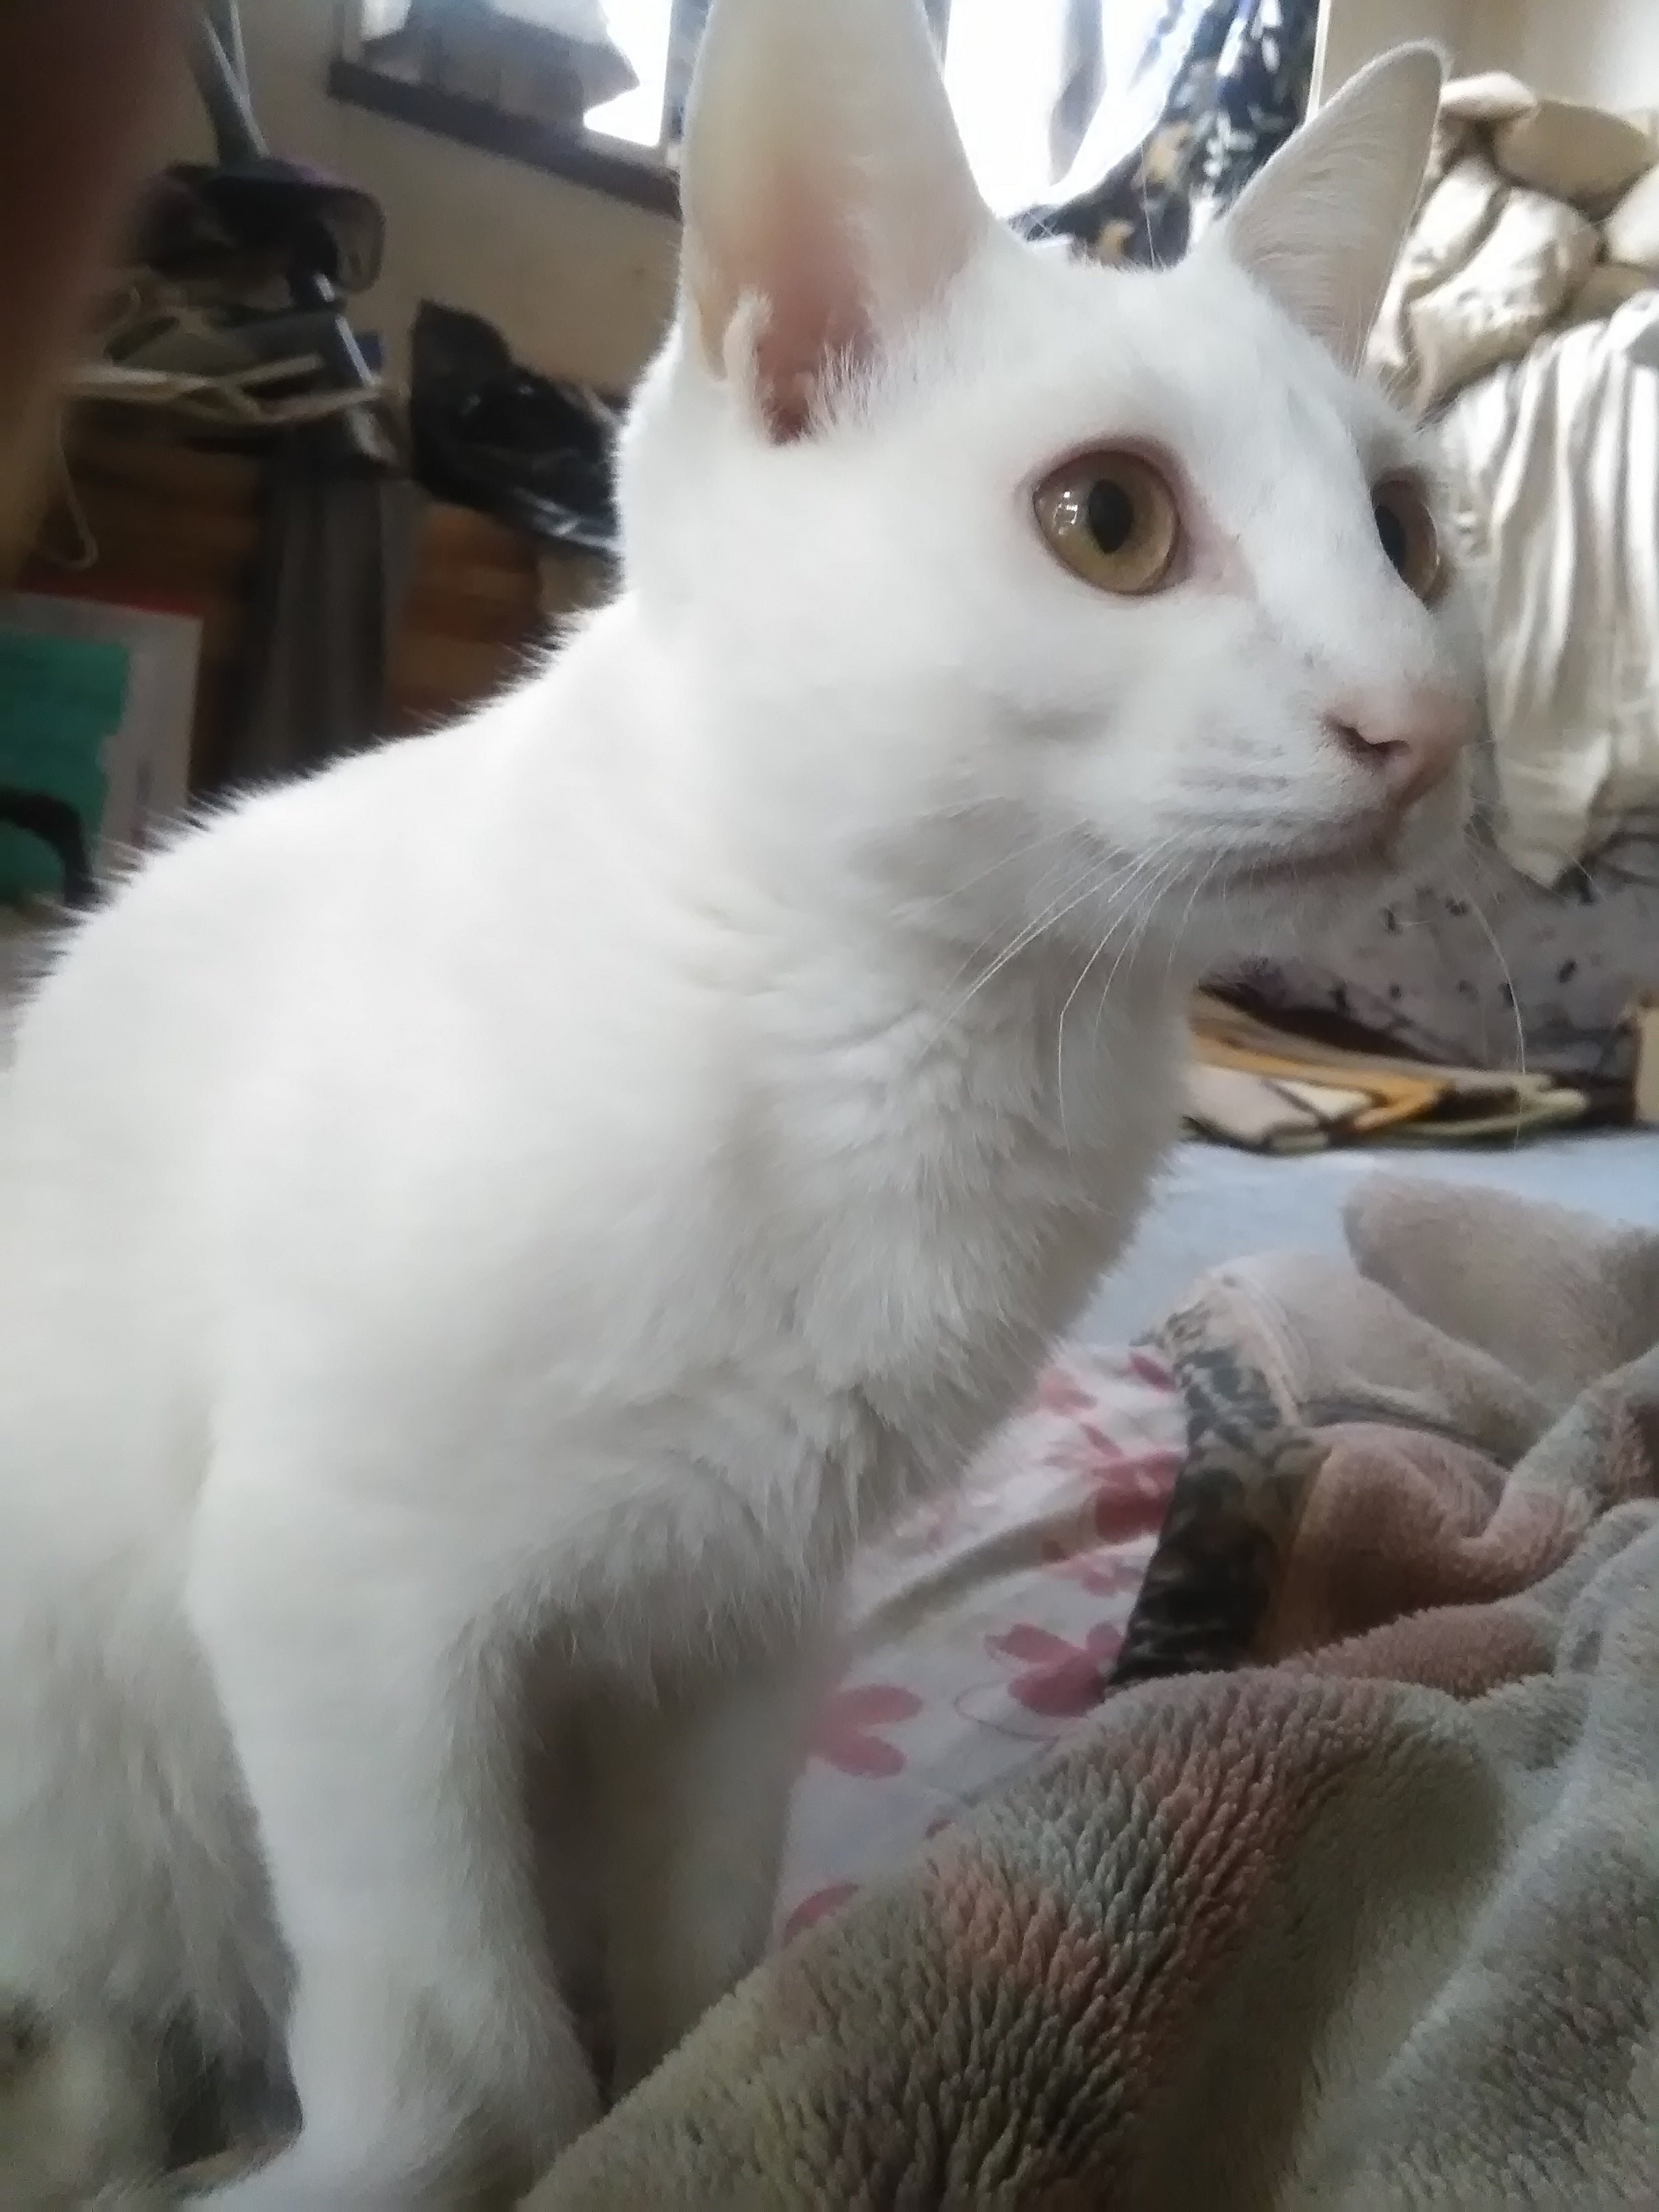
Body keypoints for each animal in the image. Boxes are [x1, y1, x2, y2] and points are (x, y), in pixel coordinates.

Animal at [0, 0, 1476, 2204]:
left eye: (1406, 537)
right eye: (1108, 520)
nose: (1425, 717)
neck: (904, 1042)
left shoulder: (748, 1609)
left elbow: (692, 1953)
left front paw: (713, 2096)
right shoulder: (336, 1593)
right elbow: (461, 2057)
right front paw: (415, 2161)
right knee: (109, 2015)